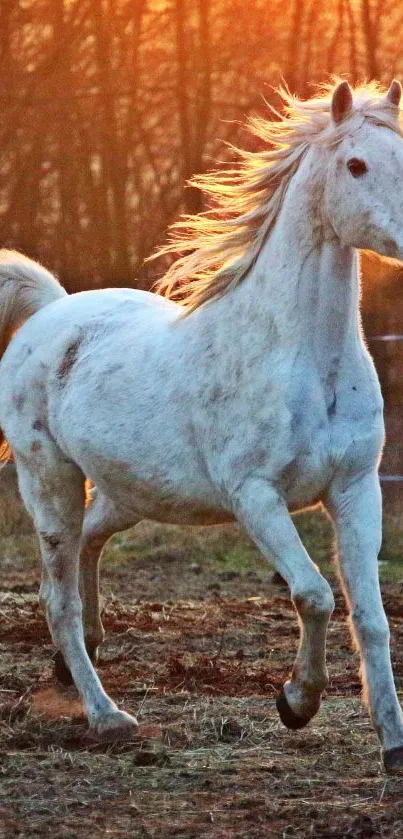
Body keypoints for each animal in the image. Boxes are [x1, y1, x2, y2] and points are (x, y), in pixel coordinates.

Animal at [0, 82, 403, 772]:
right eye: (355, 165)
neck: (302, 358)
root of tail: (51, 312)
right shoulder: (256, 497)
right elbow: (315, 594)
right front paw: (296, 703)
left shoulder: (355, 489)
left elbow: (371, 619)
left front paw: (394, 743)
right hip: (49, 483)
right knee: (58, 598)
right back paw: (107, 716)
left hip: (131, 492)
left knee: (89, 546)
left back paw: (76, 662)